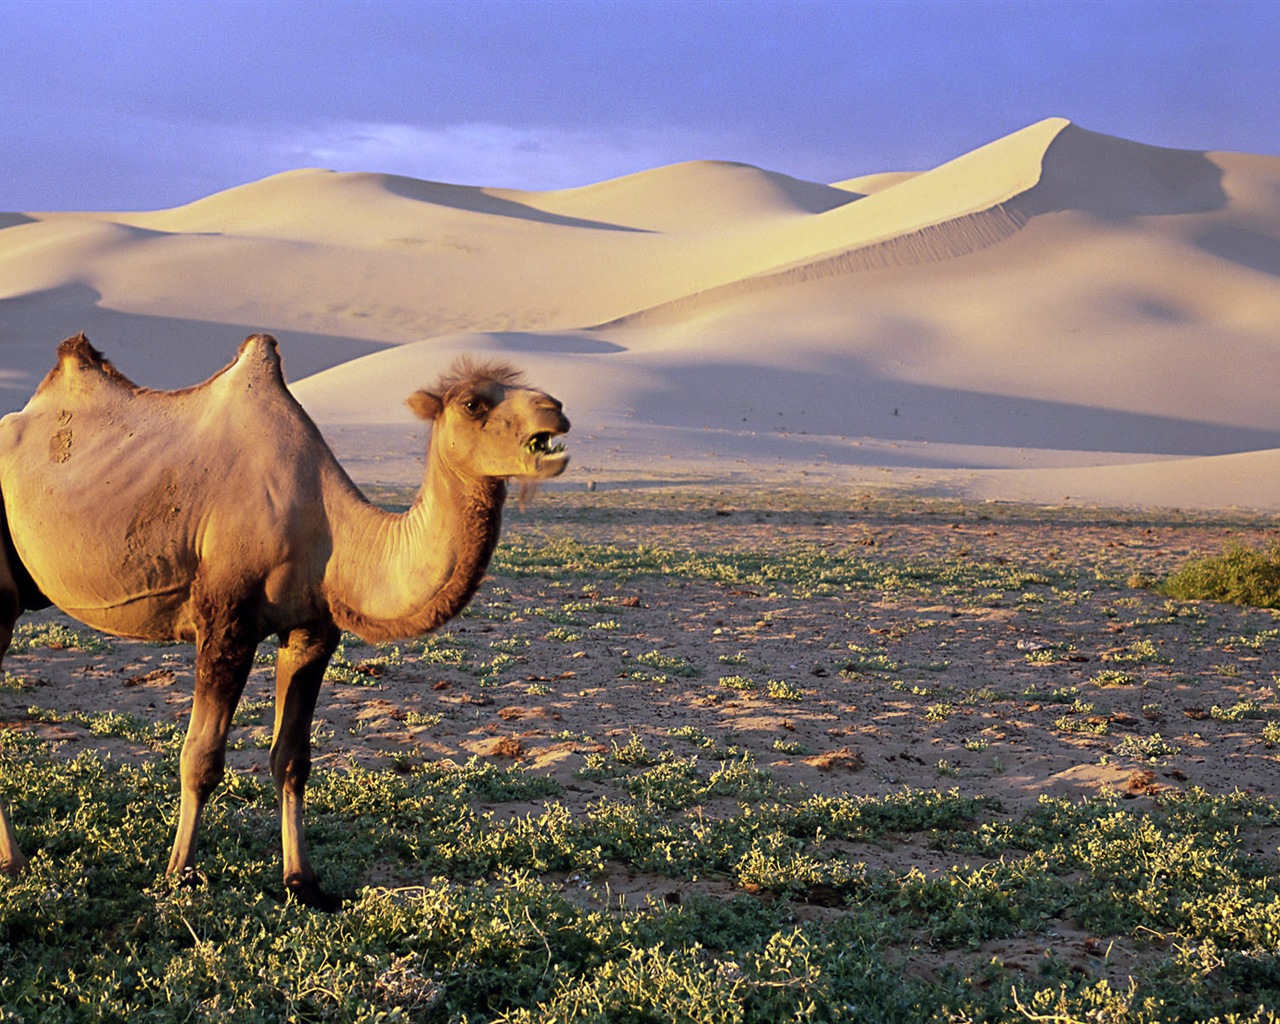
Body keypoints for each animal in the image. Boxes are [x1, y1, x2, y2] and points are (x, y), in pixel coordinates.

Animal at [0, 332, 570, 906]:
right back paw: (16, 863)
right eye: (474, 403)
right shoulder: (226, 620)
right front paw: (180, 875)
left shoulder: (311, 631)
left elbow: (292, 759)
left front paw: (303, 882)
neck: (331, 531)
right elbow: (201, 758)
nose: (556, 409)